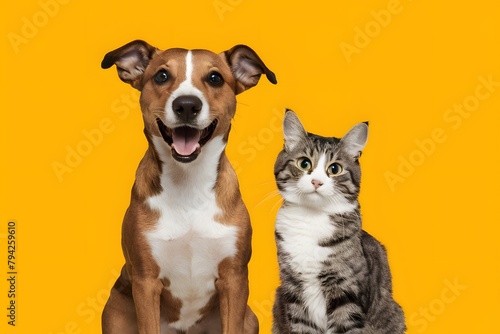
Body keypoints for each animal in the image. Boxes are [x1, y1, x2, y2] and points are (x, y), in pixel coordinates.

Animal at [99, 39, 276, 334]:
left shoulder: (234, 279)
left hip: (249, 318)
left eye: (215, 78)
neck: (188, 184)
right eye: (161, 75)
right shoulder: (146, 282)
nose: (186, 105)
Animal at [272, 111, 404, 332]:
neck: (311, 219)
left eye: (335, 168)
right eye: (304, 163)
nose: (316, 182)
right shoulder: (293, 289)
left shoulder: (346, 291)